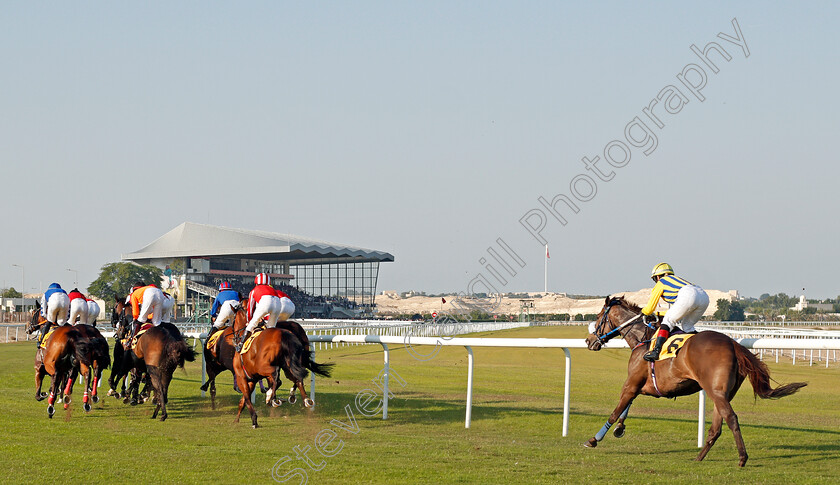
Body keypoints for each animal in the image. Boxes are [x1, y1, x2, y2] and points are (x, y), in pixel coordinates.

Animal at [584, 294, 808, 466]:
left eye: (598, 317)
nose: (589, 340)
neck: (643, 338)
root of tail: (733, 344)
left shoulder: (631, 383)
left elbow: (616, 411)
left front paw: (594, 439)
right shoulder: (641, 385)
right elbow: (626, 407)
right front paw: (619, 428)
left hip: (715, 391)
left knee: (732, 419)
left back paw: (742, 458)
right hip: (722, 393)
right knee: (717, 426)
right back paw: (699, 457)